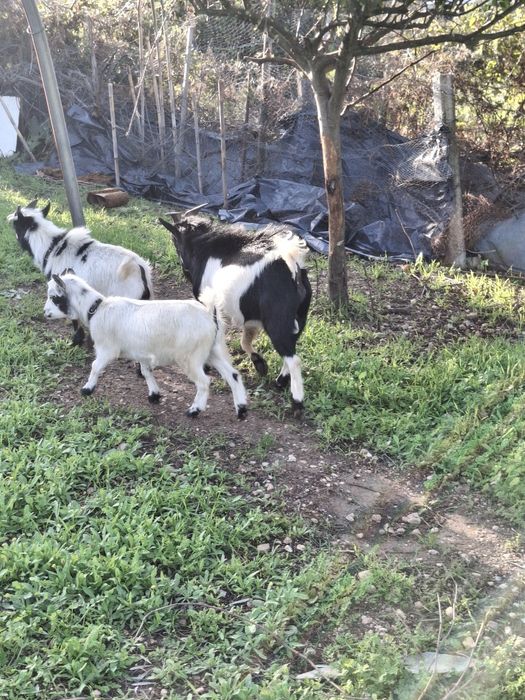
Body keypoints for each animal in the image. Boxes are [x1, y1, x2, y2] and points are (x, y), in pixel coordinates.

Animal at [44, 272, 248, 419]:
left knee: (204, 382)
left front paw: (87, 389)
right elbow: (146, 371)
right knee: (233, 375)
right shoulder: (141, 352)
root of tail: (209, 313)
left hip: (190, 356)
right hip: (213, 350)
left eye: (54, 297)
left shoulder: (107, 349)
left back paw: (194, 410)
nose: (45, 313)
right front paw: (154, 395)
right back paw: (241, 409)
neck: (95, 309)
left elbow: (95, 366)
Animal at [158, 213, 311, 418]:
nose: (185, 270)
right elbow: (245, 341)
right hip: (299, 318)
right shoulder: (250, 319)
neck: (207, 251)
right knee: (291, 347)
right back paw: (280, 381)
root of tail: (292, 267)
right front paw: (259, 363)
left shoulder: (211, 308)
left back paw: (297, 402)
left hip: (277, 322)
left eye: (175, 240)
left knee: (294, 359)